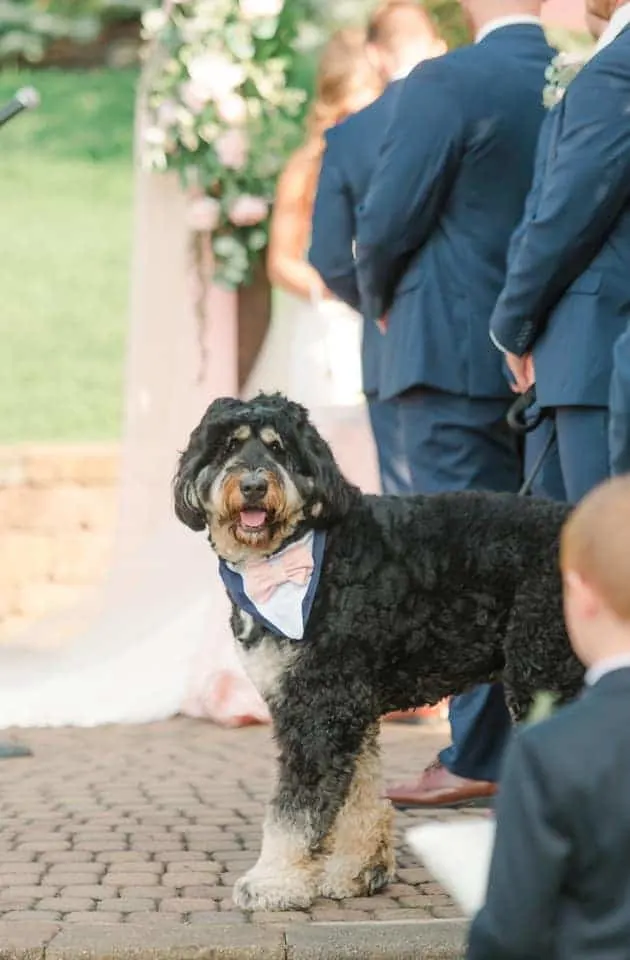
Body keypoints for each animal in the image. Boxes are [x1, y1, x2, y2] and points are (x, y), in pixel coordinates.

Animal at [175, 394, 584, 912]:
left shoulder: (320, 705)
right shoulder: (350, 705)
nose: (252, 485)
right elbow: (360, 791)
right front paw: (357, 871)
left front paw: (273, 880)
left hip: (543, 672)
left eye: (279, 447)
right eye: (227, 446)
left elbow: (296, 807)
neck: (302, 554)